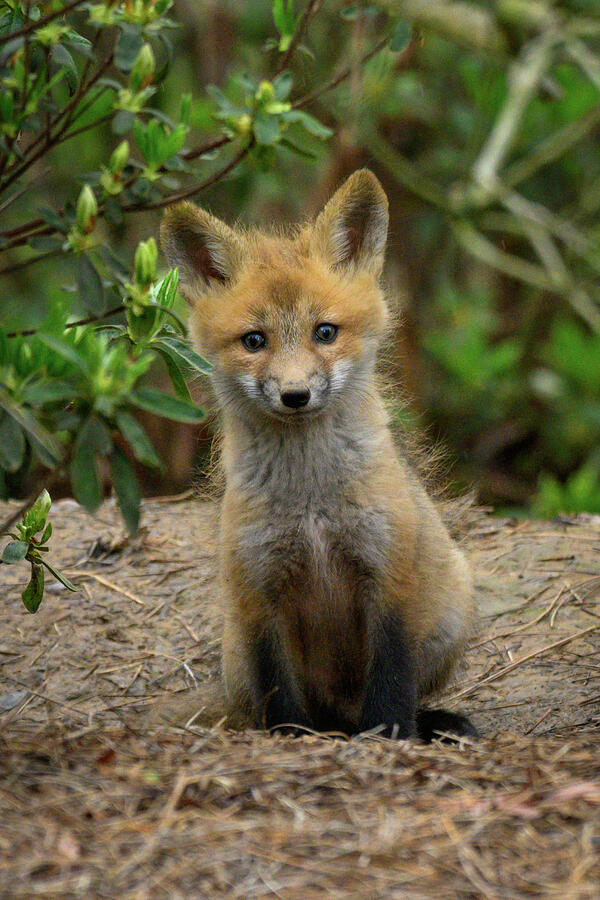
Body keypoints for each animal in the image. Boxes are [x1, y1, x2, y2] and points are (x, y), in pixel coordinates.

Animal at [161, 167, 478, 740]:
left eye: (324, 332)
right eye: (254, 341)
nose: (295, 395)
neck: (311, 505)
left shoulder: (388, 576)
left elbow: (391, 682)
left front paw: (390, 737)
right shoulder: (259, 593)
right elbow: (281, 695)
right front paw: (292, 740)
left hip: (451, 613)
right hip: (238, 653)